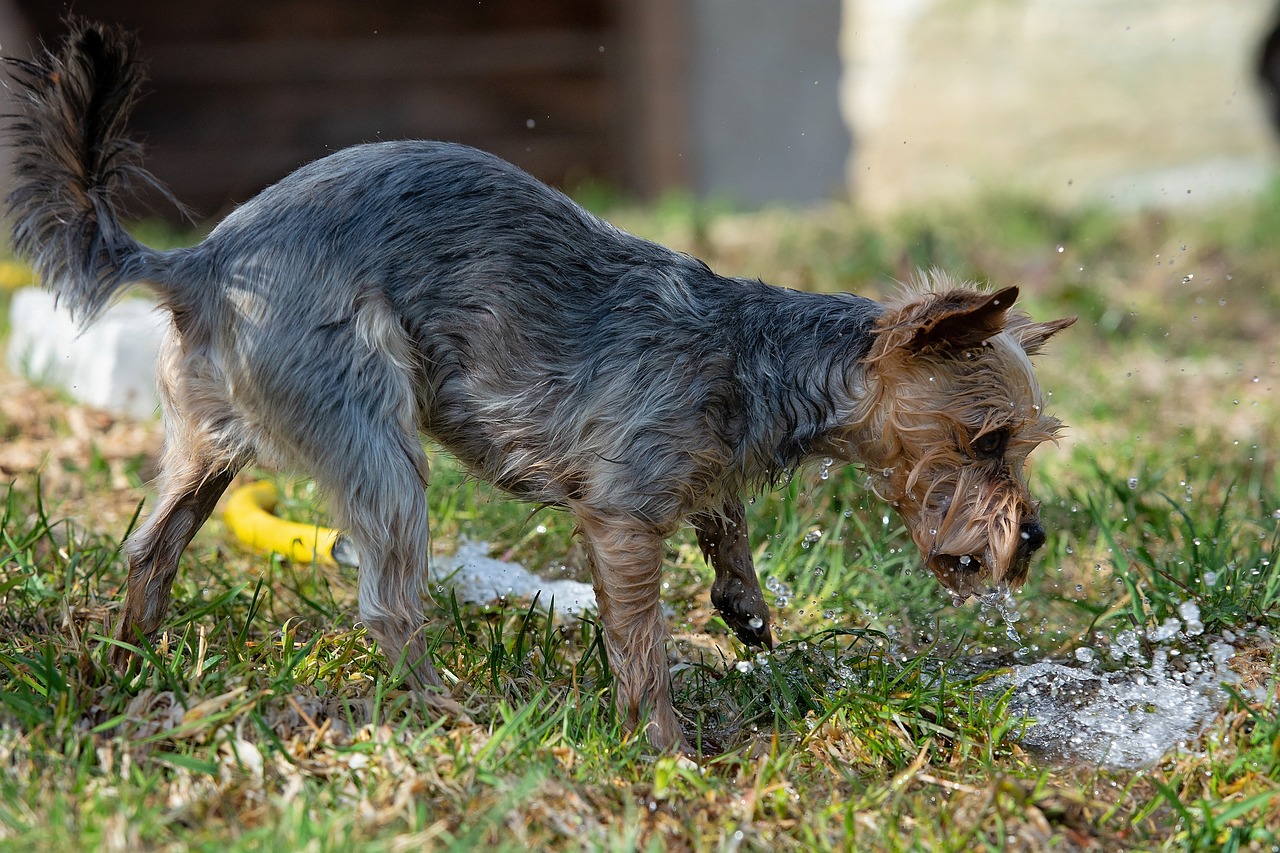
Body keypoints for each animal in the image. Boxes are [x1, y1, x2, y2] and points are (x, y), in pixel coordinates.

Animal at [5, 21, 1075, 753]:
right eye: (986, 441)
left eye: (1025, 447)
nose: (1032, 537)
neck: (758, 358)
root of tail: (203, 261)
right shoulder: (622, 516)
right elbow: (642, 641)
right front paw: (667, 749)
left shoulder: (692, 473)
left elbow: (724, 520)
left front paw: (746, 607)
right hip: (376, 442)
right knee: (387, 601)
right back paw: (448, 709)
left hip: (208, 447)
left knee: (150, 551)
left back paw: (128, 669)